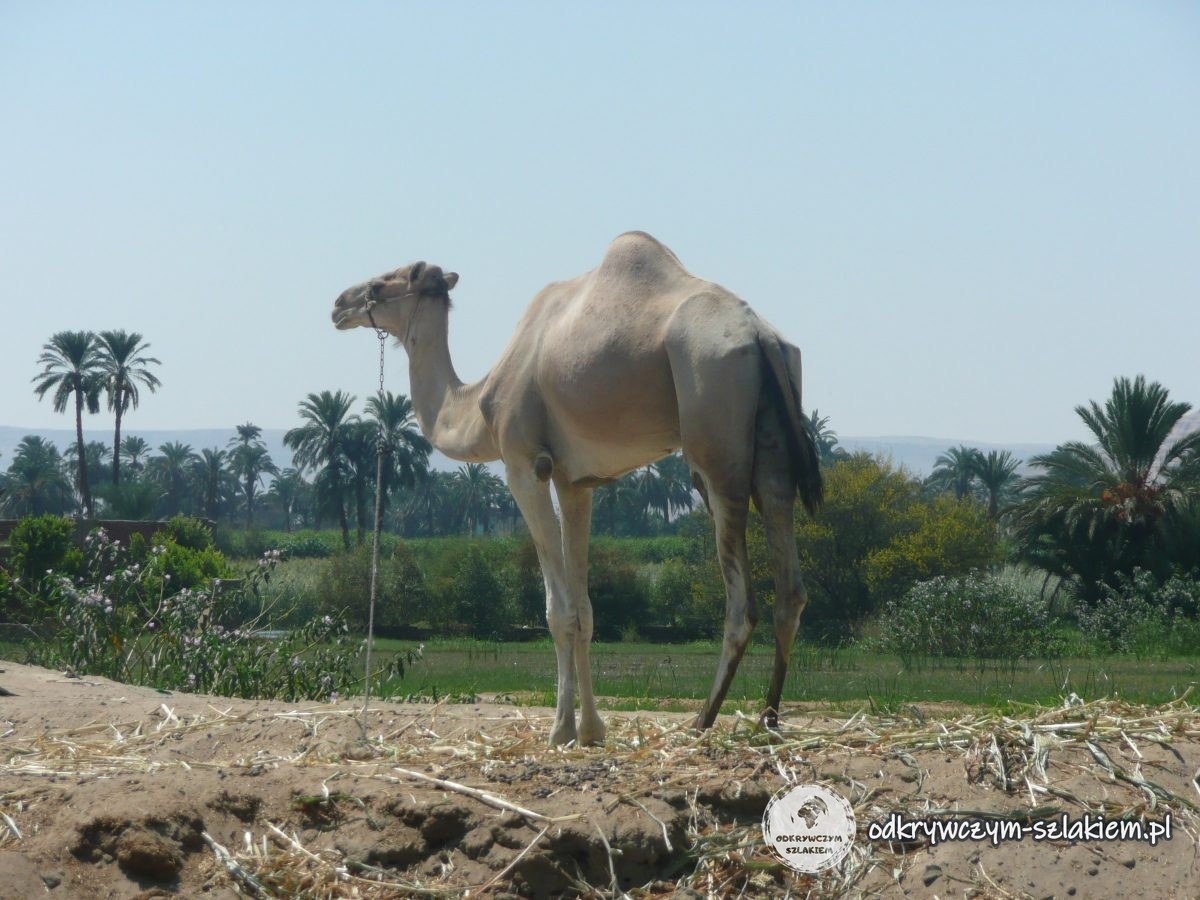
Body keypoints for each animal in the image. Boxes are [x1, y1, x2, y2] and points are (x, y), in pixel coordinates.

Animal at [332, 232, 822, 746]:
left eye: (382, 283)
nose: (339, 304)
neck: (478, 404)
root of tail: (761, 336)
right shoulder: (576, 482)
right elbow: (584, 611)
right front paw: (590, 730)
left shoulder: (524, 465)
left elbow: (558, 610)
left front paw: (560, 730)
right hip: (772, 439)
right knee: (789, 578)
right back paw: (768, 718)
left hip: (714, 433)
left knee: (740, 599)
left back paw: (703, 720)